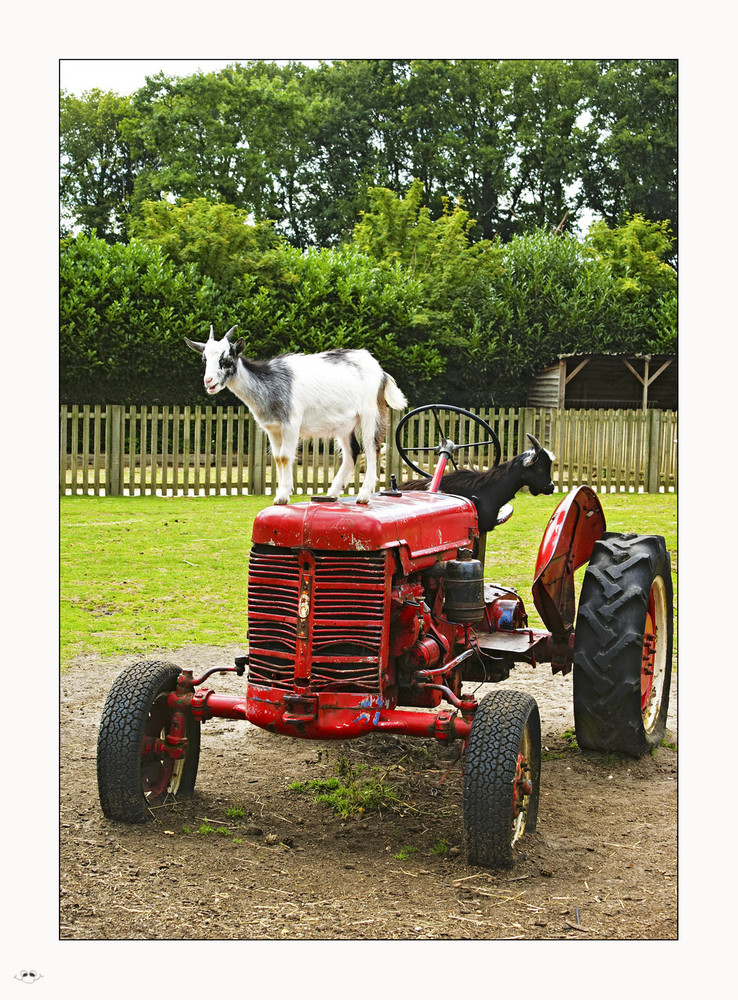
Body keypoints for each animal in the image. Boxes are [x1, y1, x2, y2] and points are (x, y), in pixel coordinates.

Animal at [182, 324, 406, 504]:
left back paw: (363, 495)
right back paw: (331, 494)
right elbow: (277, 458)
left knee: (372, 448)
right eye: (204, 358)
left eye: (227, 358)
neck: (271, 384)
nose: (209, 381)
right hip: (345, 424)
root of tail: (381, 372)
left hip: (371, 413)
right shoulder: (272, 429)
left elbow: (284, 457)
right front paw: (282, 493)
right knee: (352, 452)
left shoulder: (291, 424)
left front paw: (282, 496)